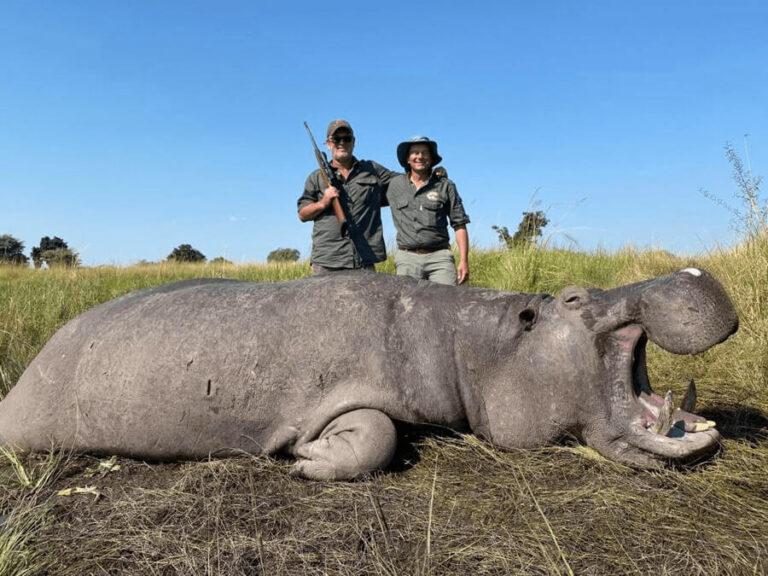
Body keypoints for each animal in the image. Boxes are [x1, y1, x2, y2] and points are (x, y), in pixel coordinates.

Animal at [0, 269, 738, 480]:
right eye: (576, 297)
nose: (691, 271)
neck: (475, 341)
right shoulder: (336, 397)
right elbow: (378, 436)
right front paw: (304, 460)